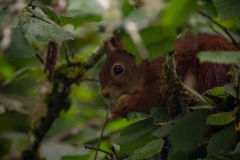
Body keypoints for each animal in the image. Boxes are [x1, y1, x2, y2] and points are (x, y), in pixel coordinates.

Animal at [98, 32, 239, 117]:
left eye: (118, 69)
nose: (105, 94)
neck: (145, 64)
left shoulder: (163, 70)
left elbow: (155, 96)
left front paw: (126, 102)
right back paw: (175, 105)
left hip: (216, 61)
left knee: (215, 95)